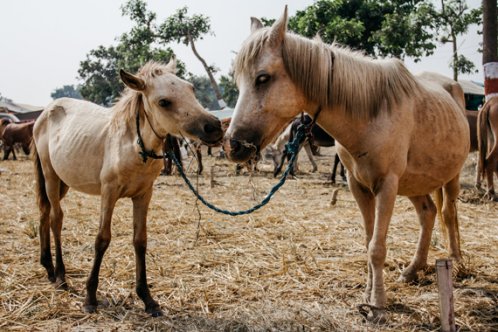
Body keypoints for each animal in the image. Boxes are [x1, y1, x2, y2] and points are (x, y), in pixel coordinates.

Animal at [32, 58, 223, 316]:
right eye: (164, 102)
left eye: (191, 89)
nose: (215, 127)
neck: (133, 145)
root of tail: (45, 113)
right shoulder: (108, 193)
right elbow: (102, 239)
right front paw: (90, 297)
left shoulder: (144, 195)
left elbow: (140, 241)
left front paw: (147, 298)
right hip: (50, 176)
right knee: (55, 219)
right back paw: (61, 275)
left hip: (63, 182)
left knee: (44, 213)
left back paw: (49, 268)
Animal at [224, 8, 468, 320]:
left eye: (263, 78)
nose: (233, 145)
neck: (370, 113)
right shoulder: (358, 185)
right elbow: (368, 242)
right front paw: (368, 295)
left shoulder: (386, 186)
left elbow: (377, 247)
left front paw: (377, 303)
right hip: (416, 182)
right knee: (428, 213)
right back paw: (414, 269)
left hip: (451, 177)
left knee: (448, 213)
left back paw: (456, 261)